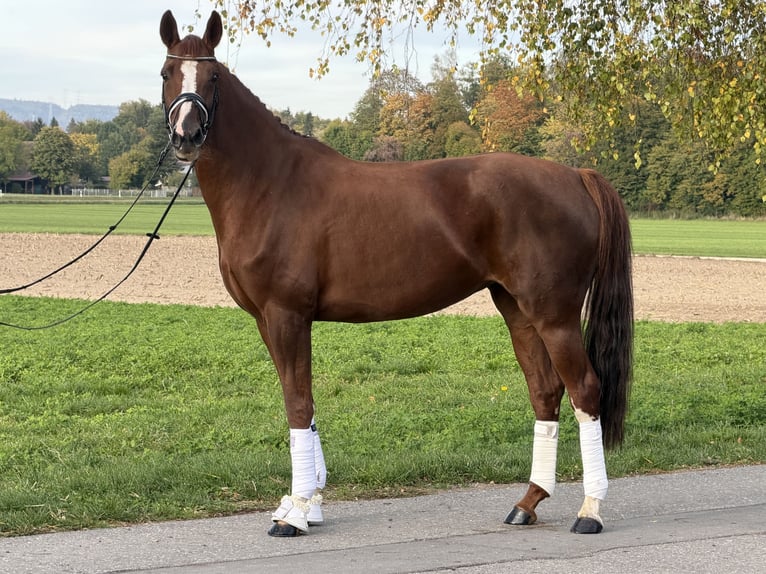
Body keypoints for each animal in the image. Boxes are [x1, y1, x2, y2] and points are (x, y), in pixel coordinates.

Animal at [159, 10, 633, 538]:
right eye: (167, 73)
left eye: (213, 78)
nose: (186, 136)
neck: (270, 183)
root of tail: (575, 176)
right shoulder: (269, 320)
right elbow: (304, 400)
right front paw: (308, 502)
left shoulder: (286, 315)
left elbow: (298, 404)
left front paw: (296, 512)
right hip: (517, 308)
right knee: (545, 391)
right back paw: (527, 502)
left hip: (555, 315)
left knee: (585, 390)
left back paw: (589, 510)